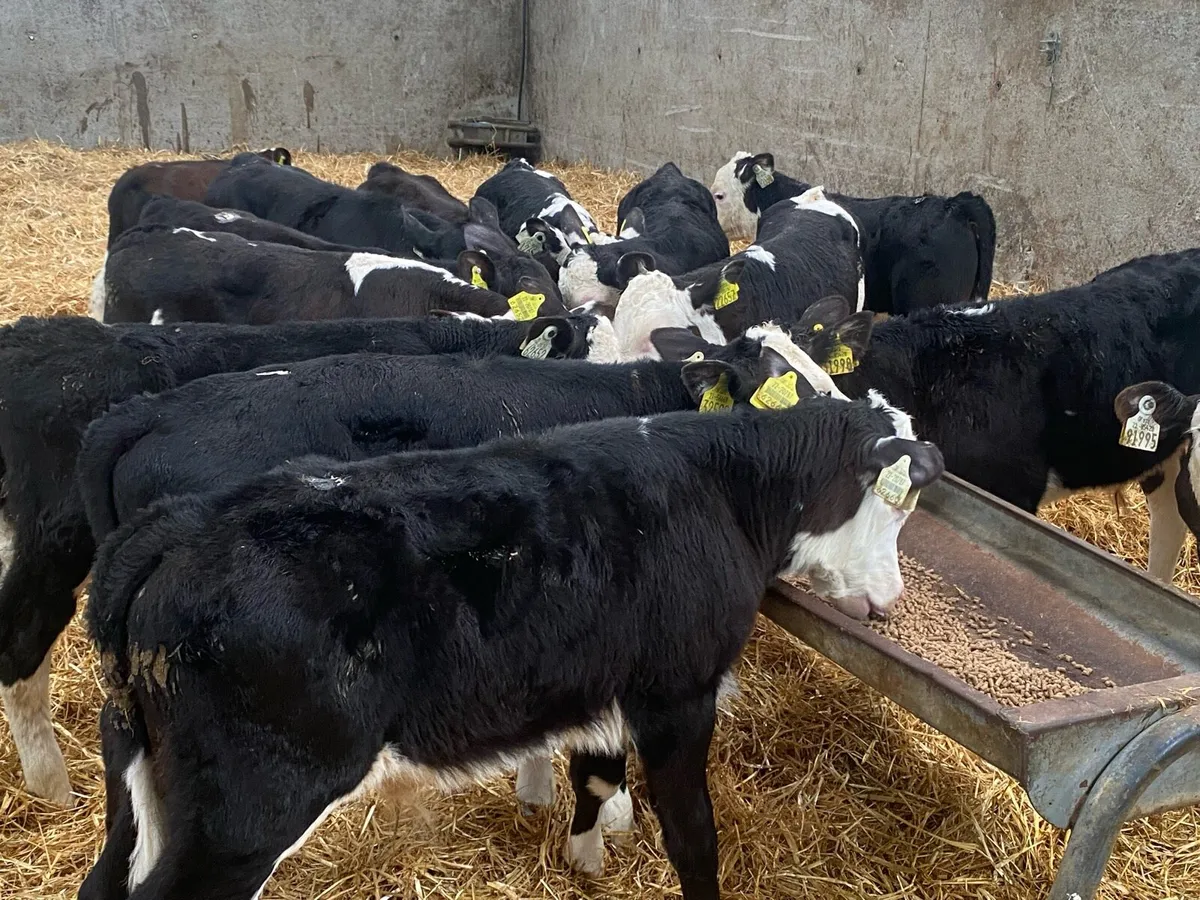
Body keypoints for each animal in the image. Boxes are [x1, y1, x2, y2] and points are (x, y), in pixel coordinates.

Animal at [79, 391, 943, 900]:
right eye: (899, 506)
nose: (893, 599)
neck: (722, 490)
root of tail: (187, 523)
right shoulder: (677, 693)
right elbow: (694, 837)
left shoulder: (596, 677)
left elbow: (595, 773)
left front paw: (585, 861)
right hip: (247, 810)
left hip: (138, 775)